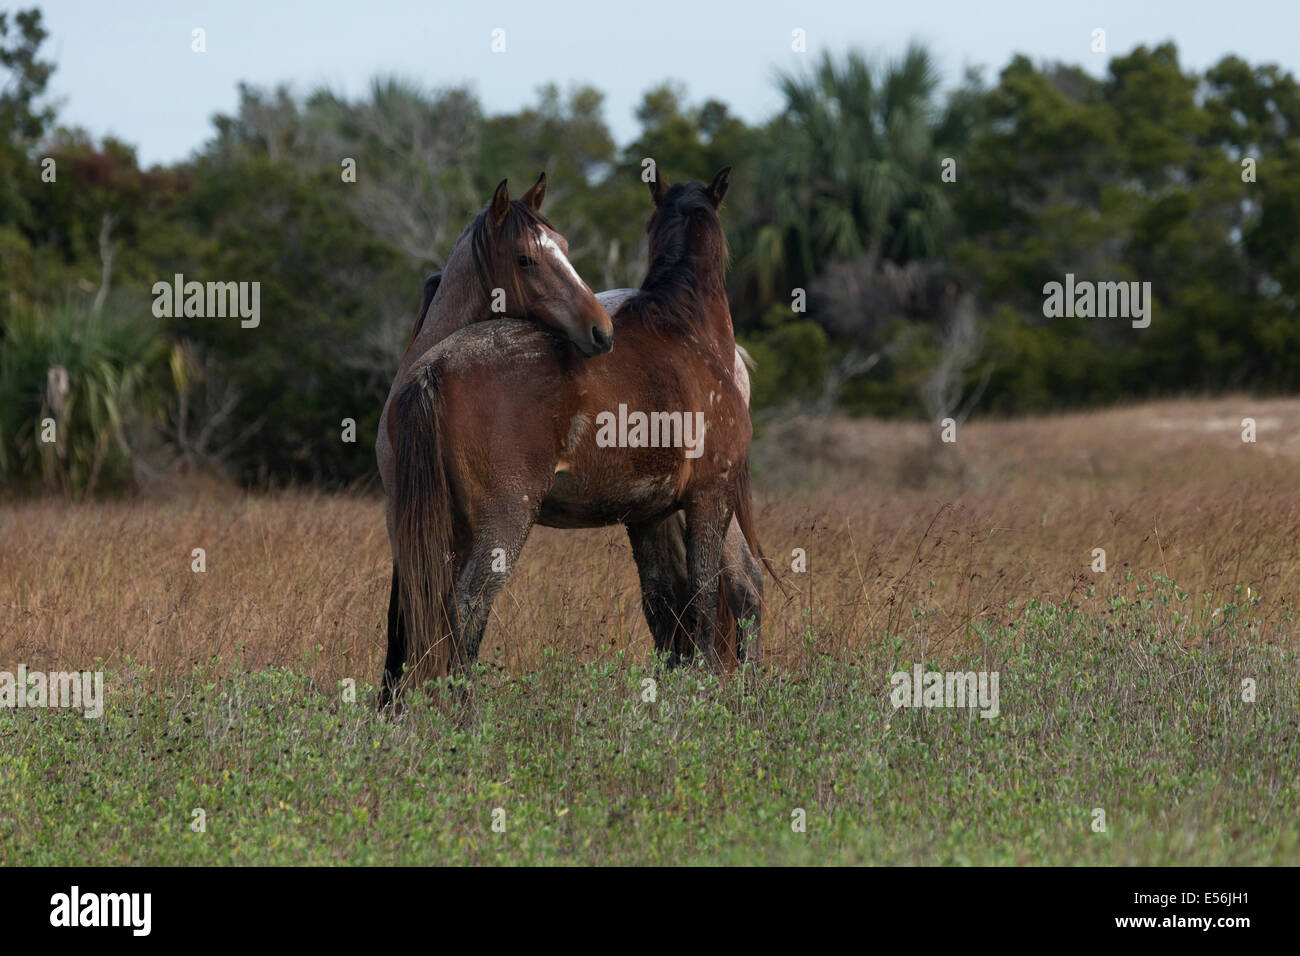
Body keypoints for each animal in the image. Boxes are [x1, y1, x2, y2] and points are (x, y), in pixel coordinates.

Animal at [390, 167, 764, 691]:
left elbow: (668, 606)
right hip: (503, 524)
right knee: (464, 613)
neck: (689, 330)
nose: (599, 331)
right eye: (525, 258)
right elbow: (703, 605)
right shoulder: (709, 497)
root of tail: (434, 367)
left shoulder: (650, 514)